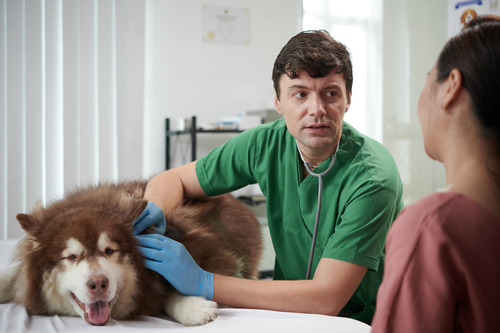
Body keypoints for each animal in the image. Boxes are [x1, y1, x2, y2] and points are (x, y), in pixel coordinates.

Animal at [0, 182, 262, 324]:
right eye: (71, 257)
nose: (98, 283)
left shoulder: (214, 257)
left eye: (109, 250)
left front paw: (192, 307)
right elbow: (10, 279)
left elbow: (178, 287)